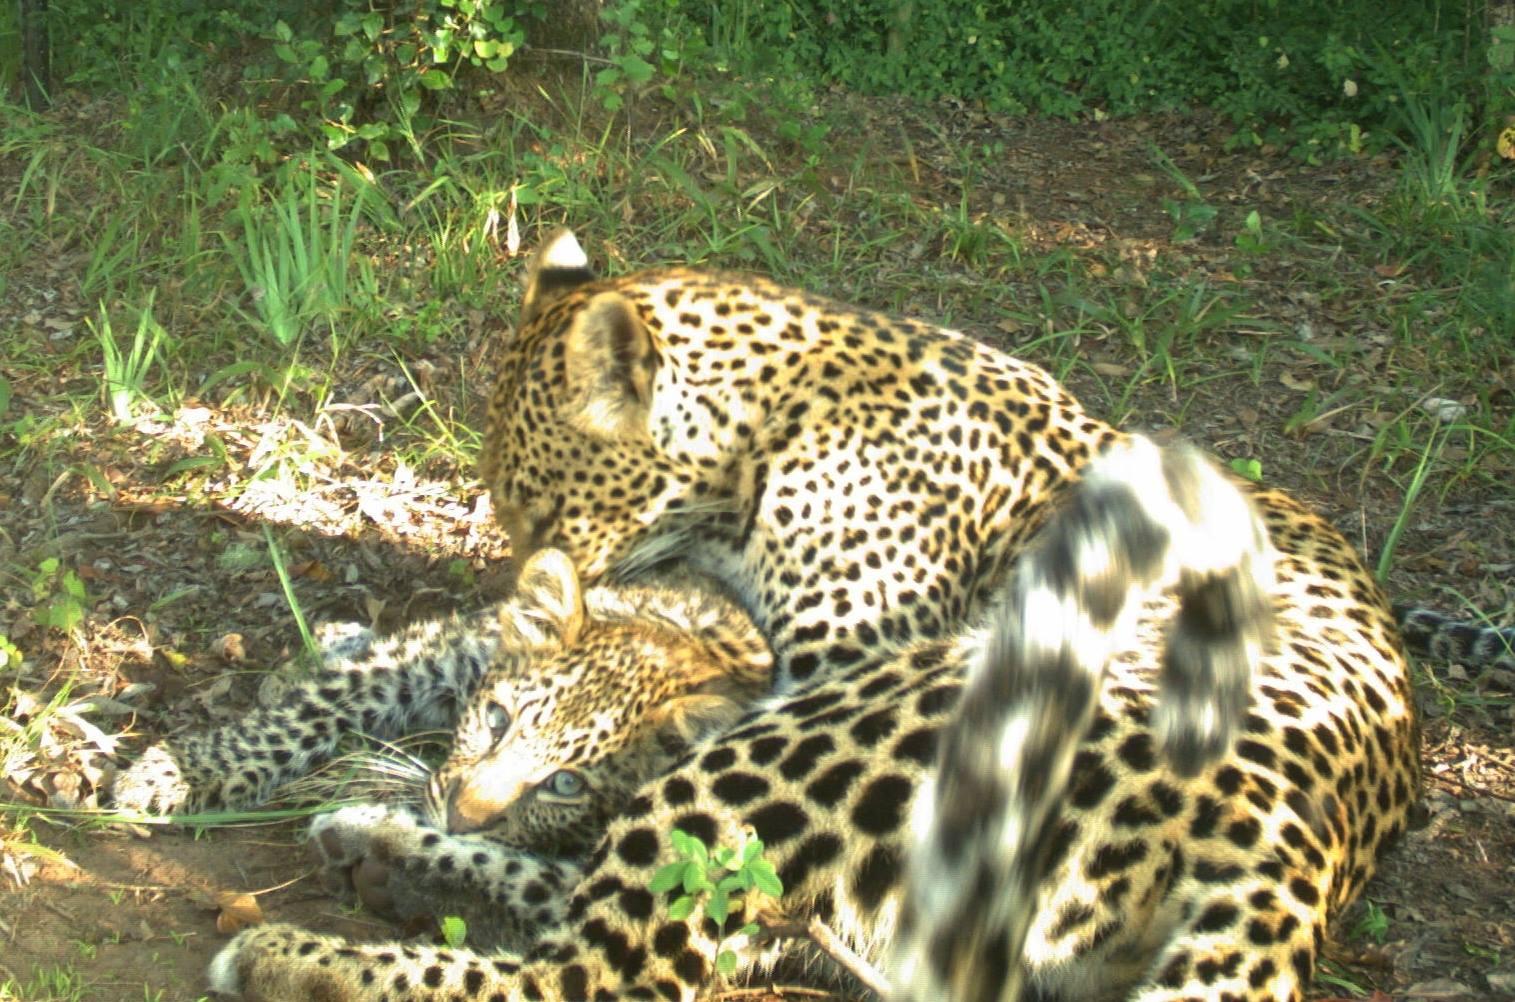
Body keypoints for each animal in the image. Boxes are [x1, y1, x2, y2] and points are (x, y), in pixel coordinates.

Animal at [207, 231, 1513, 1001]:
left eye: (537, 501)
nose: (522, 570)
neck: (764, 439)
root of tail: (1292, 837)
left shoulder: (803, 662)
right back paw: (379, 847)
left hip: (853, 727)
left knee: (616, 957)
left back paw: (293, 939)